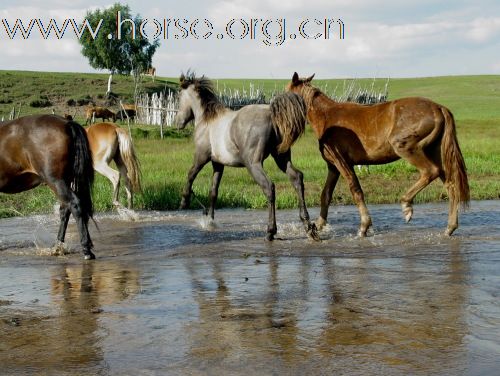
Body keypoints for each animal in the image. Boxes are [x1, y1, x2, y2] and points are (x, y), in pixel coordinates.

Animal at [0, 116, 96, 260]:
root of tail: (66, 123)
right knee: (65, 209)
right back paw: (58, 247)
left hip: (56, 181)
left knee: (74, 205)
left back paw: (86, 249)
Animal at [174, 73, 318, 241]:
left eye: (179, 96)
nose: (177, 123)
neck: (207, 120)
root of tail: (271, 113)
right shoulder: (218, 164)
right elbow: (213, 192)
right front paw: (210, 220)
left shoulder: (201, 157)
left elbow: (190, 175)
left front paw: (184, 201)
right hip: (281, 159)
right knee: (297, 178)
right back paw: (309, 226)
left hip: (253, 164)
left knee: (269, 187)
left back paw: (270, 231)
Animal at [288, 72, 470, 236]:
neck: (327, 118)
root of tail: (438, 108)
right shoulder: (333, 166)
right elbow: (326, 194)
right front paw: (318, 225)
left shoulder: (342, 162)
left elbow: (355, 189)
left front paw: (364, 226)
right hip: (435, 153)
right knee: (451, 185)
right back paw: (450, 227)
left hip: (406, 149)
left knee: (430, 172)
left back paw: (406, 205)